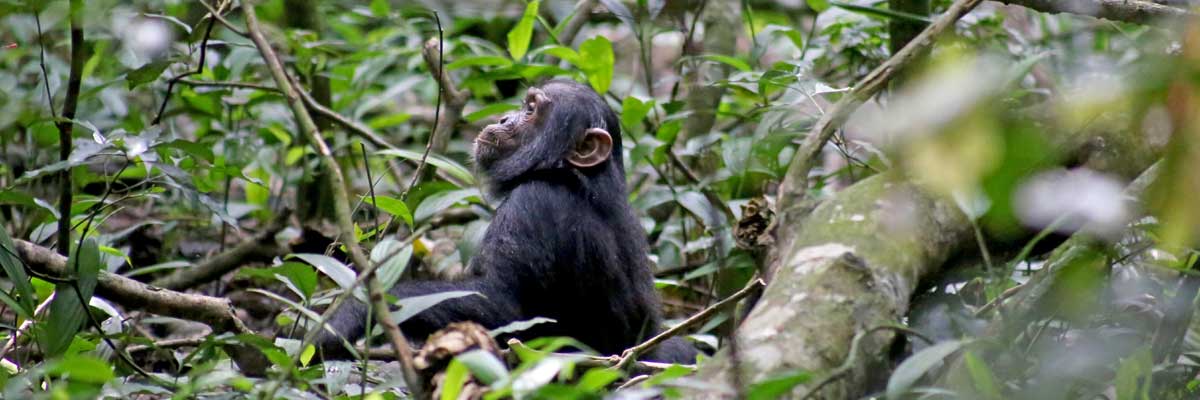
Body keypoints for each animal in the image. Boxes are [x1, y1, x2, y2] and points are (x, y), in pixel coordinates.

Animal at [317, 79, 698, 363]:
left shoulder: (533, 205)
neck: (565, 173)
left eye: (531, 110)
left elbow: (502, 304)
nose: (503, 119)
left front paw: (350, 314)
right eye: (523, 104)